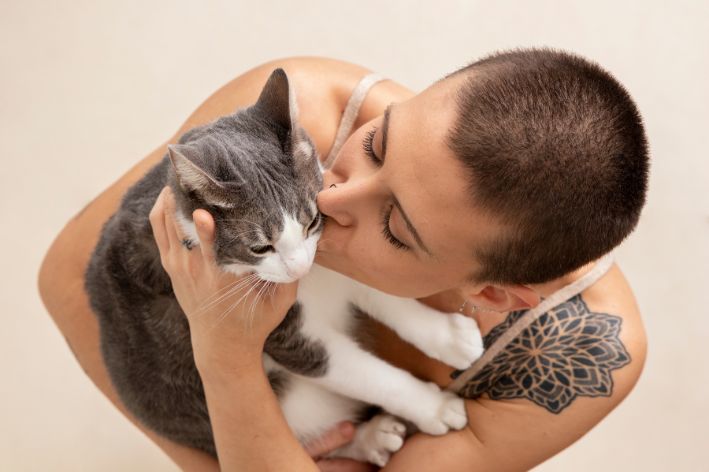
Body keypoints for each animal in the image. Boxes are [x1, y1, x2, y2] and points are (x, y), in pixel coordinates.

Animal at [83, 68, 482, 466]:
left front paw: (448, 336)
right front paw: (433, 407)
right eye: (260, 247)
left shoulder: (330, 249)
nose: (298, 267)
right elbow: (361, 373)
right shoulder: (284, 333)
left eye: (312, 221)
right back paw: (372, 438)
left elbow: (375, 289)